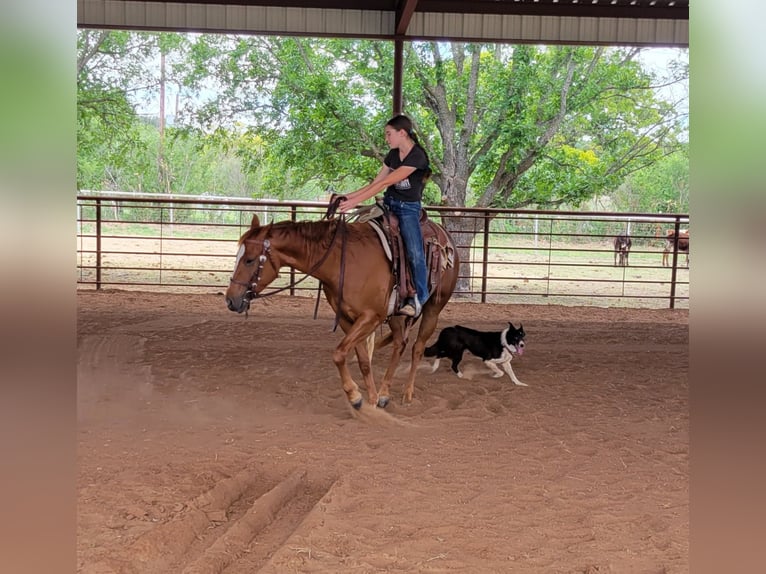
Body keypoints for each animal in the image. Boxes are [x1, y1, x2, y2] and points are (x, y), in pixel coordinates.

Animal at [225, 215, 460, 410]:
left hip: (433, 308)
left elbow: (338, 354)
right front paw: (370, 399)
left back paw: (408, 394)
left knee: (417, 348)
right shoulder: (349, 319)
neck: (341, 261)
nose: (230, 299)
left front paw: (355, 396)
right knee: (399, 344)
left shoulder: (371, 316)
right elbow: (362, 360)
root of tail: (445, 236)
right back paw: (384, 393)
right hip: (395, 315)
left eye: (249, 260)